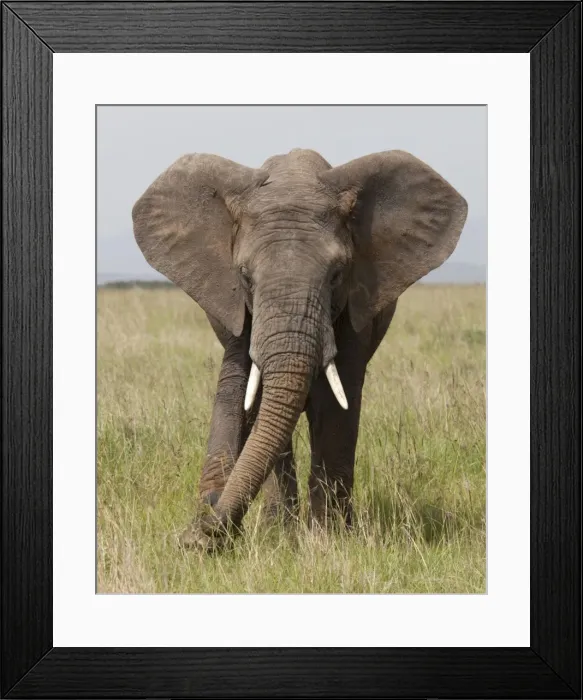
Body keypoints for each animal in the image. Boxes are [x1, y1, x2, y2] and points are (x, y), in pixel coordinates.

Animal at [132, 148, 467, 551]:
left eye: (337, 275)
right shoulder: (235, 307)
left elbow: (336, 400)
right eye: (244, 277)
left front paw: (329, 541)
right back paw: (278, 529)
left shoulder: (354, 304)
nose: (199, 532)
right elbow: (240, 389)